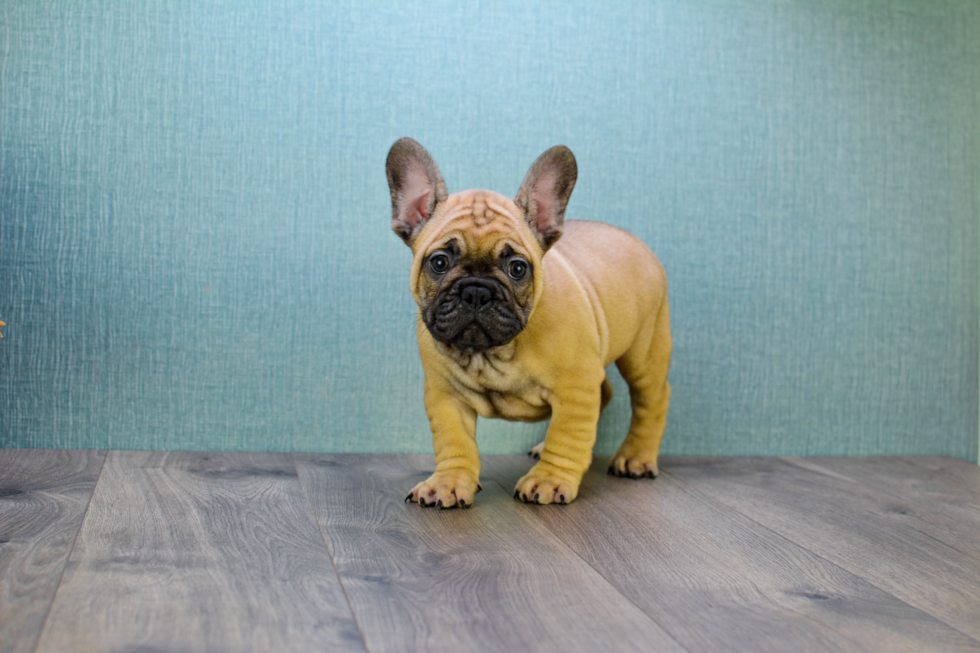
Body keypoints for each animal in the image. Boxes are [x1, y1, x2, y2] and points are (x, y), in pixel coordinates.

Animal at [386, 135, 668, 506]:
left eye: (517, 268)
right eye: (439, 262)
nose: (476, 291)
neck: (493, 353)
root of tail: (633, 240)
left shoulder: (576, 388)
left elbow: (568, 435)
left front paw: (549, 479)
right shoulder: (446, 396)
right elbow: (454, 443)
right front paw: (449, 482)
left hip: (645, 352)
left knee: (651, 400)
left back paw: (636, 457)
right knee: (605, 393)